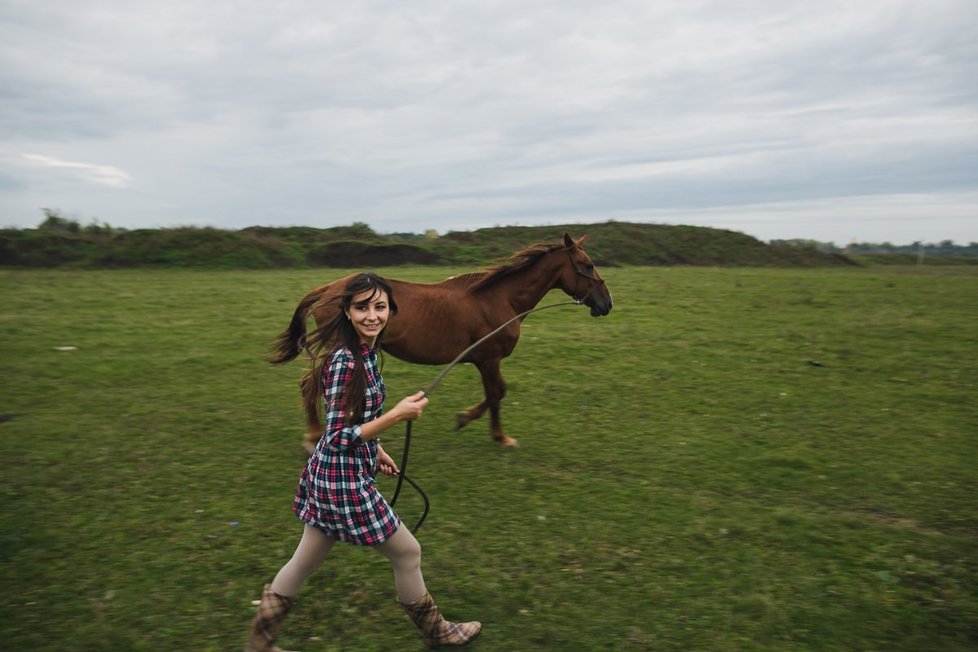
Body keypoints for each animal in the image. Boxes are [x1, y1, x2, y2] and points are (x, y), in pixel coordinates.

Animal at [270, 232, 608, 450]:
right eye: (587, 265)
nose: (607, 303)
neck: (500, 300)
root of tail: (328, 289)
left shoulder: (485, 360)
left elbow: (497, 392)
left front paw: (466, 419)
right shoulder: (488, 359)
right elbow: (496, 394)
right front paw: (498, 435)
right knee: (309, 385)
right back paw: (313, 436)